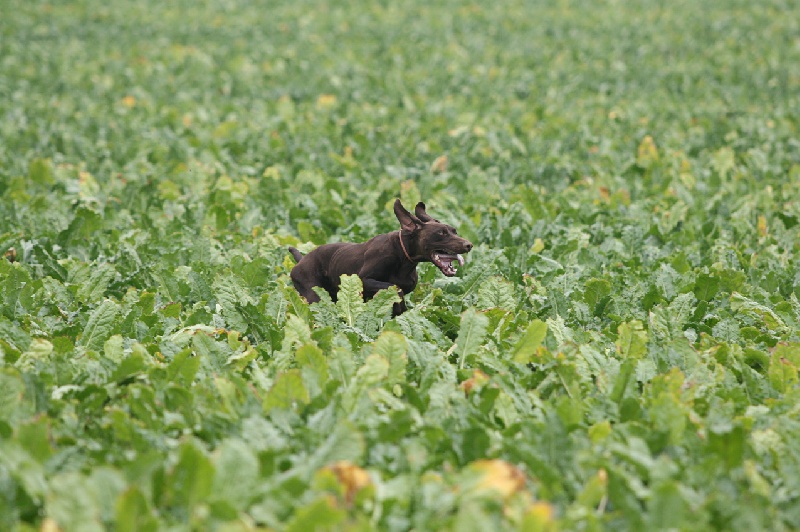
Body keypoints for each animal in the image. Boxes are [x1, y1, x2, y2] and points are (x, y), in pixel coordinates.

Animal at [290, 200, 472, 316]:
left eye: (454, 231)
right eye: (441, 233)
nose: (469, 245)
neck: (404, 258)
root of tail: (301, 261)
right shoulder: (363, 280)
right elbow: (394, 288)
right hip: (314, 295)